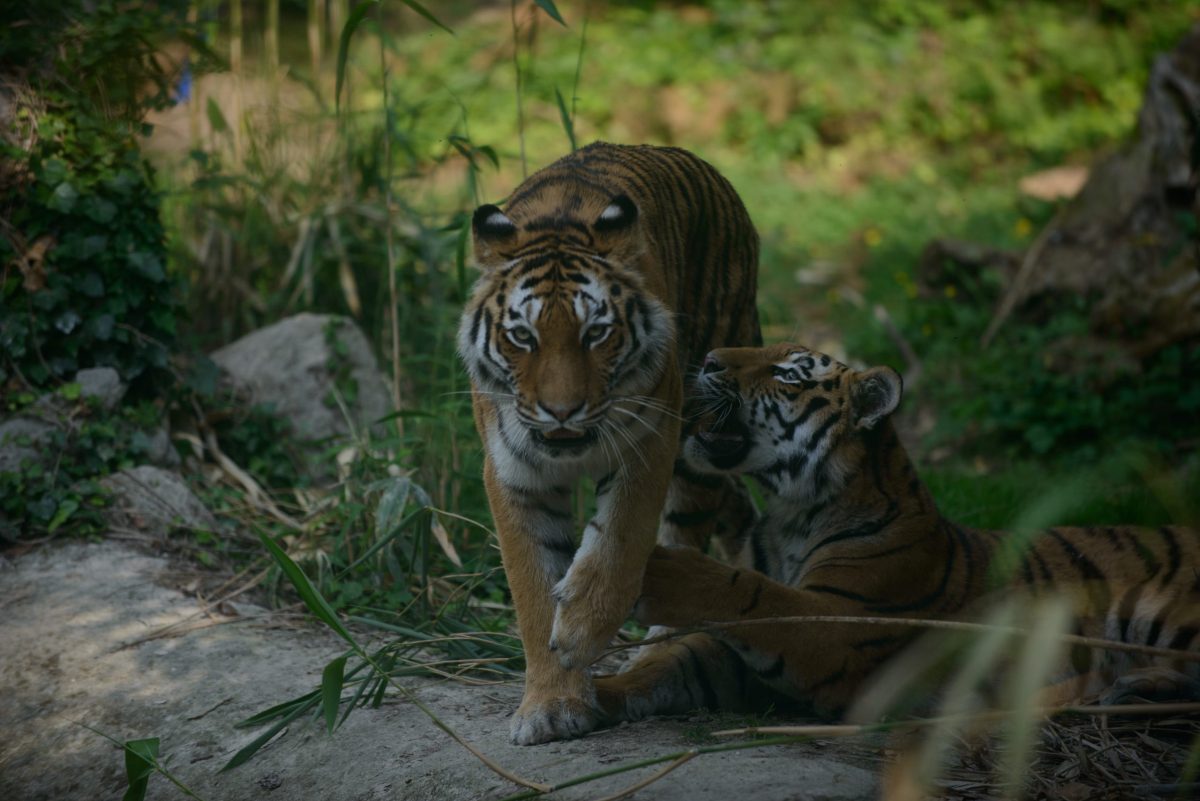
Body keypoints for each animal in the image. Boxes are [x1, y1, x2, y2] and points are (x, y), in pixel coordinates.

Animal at [457, 142, 761, 745]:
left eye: (595, 333)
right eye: (522, 336)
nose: (561, 410)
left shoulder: (649, 443)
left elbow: (619, 544)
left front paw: (578, 632)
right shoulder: (512, 473)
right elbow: (533, 586)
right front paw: (551, 704)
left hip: (702, 430)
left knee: (689, 531)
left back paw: (660, 645)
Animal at [594, 343, 1200, 726]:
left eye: (787, 374)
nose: (710, 360)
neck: (792, 510)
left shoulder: (842, 627)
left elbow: (759, 597)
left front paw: (657, 571)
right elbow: (680, 661)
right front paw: (591, 700)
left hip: (1162, 611)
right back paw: (1130, 689)